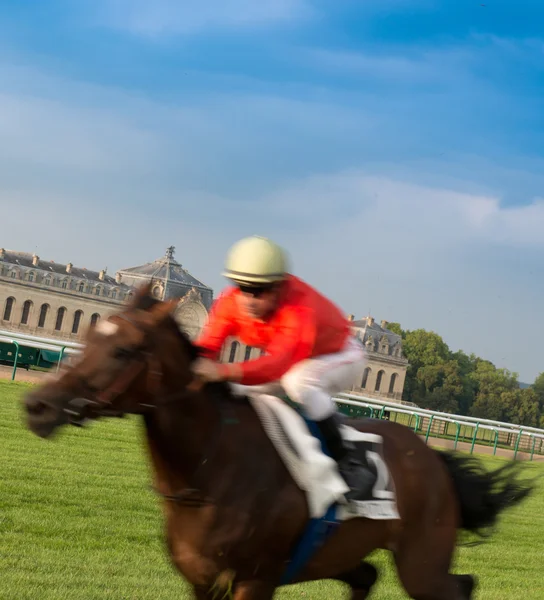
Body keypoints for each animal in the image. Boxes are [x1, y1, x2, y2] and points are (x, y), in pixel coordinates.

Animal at [23, 284, 532, 600]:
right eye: (89, 335)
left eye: (123, 350)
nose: (37, 405)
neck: (211, 468)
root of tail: (433, 457)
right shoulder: (201, 581)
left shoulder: (255, 581)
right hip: (346, 550)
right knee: (368, 576)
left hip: (422, 562)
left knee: (460, 586)